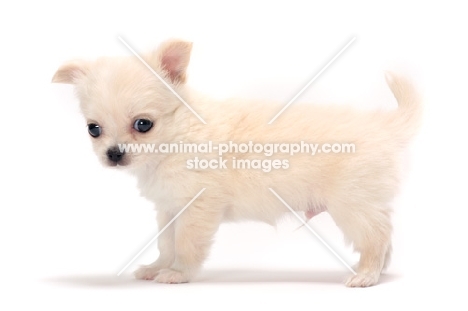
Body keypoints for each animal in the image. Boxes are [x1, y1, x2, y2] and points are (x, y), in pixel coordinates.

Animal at [53, 39, 422, 288]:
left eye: (143, 124)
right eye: (93, 129)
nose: (114, 154)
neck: (178, 136)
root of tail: (383, 126)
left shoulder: (197, 209)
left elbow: (186, 244)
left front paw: (178, 274)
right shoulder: (170, 209)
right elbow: (166, 243)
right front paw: (158, 267)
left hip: (351, 206)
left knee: (376, 238)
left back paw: (366, 275)